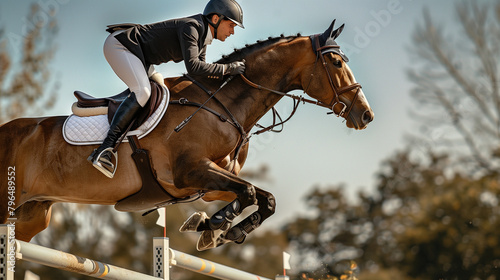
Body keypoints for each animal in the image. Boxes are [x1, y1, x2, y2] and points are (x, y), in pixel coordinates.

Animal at [0, 20, 374, 249]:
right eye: (337, 63)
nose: (366, 115)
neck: (222, 105)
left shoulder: (206, 185)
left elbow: (262, 197)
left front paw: (216, 228)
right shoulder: (190, 171)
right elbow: (251, 192)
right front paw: (213, 227)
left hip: (32, 214)